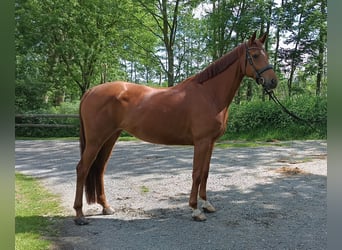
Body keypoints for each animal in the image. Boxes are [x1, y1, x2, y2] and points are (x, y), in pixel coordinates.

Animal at [73, 31, 278, 225]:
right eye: (255, 55)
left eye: (266, 54)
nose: (273, 82)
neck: (209, 94)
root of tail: (90, 91)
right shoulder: (201, 142)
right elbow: (197, 174)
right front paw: (195, 210)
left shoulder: (210, 143)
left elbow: (205, 173)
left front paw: (206, 204)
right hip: (96, 140)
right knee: (82, 168)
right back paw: (80, 215)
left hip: (110, 138)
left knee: (99, 169)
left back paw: (106, 207)